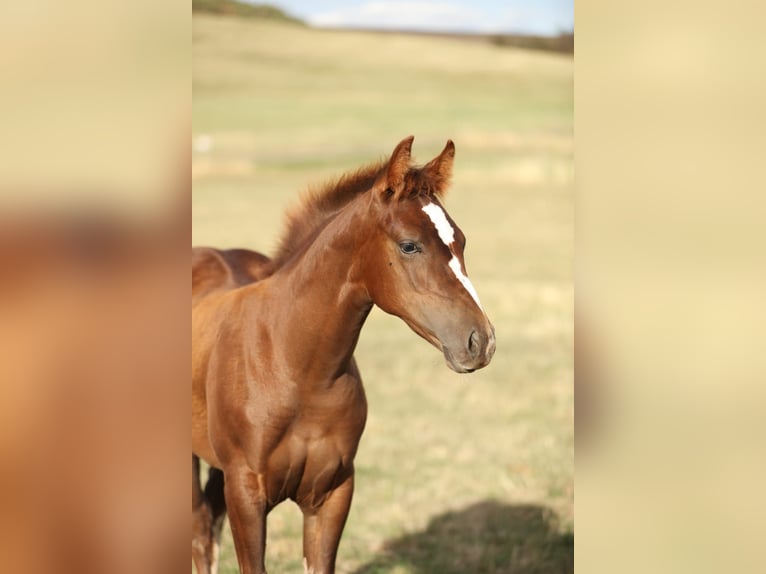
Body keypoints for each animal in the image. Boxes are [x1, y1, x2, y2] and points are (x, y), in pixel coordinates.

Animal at [191, 136, 496, 574]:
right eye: (409, 245)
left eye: (462, 241)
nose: (480, 341)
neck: (295, 367)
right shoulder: (246, 494)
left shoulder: (333, 493)